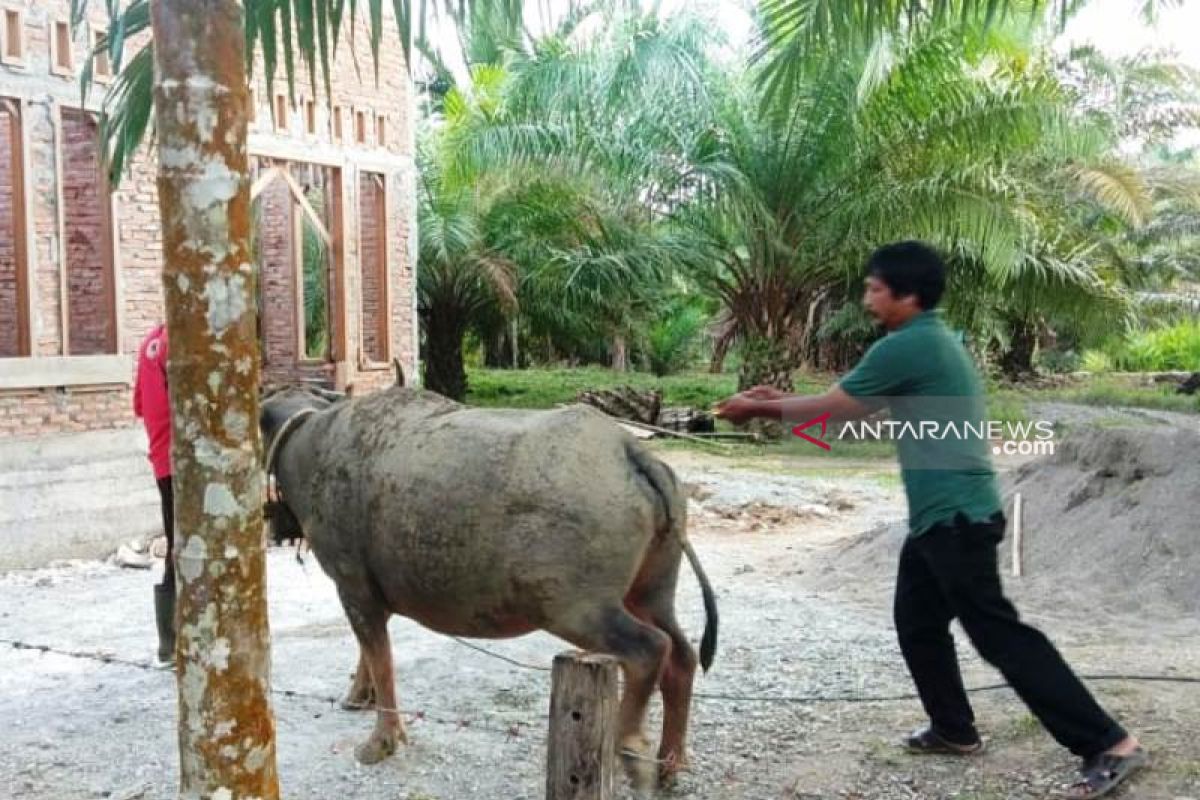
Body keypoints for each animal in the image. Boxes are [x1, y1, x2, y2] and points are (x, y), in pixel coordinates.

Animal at [259, 383, 715, 786]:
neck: (309, 448)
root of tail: (628, 451)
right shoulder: (363, 593)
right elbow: (368, 653)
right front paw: (358, 694)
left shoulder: (353, 586)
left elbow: (382, 660)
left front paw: (382, 740)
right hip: (650, 589)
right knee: (681, 653)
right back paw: (672, 762)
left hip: (574, 609)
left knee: (648, 648)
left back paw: (631, 744)